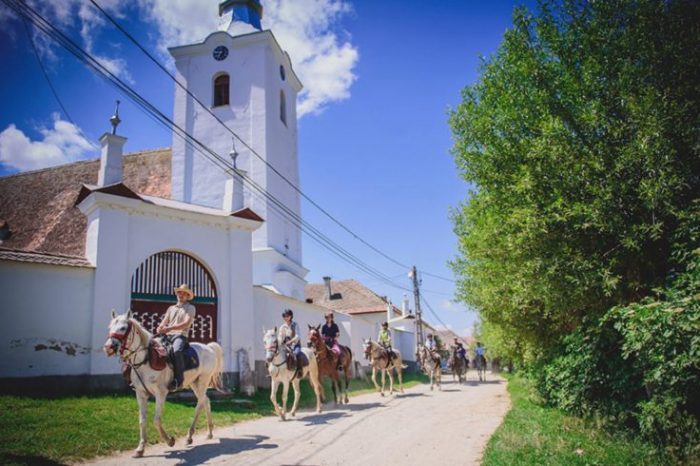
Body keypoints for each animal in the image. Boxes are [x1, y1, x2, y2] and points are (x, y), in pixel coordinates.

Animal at [103, 310, 224, 458]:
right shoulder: (141, 394)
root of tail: (209, 347)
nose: (108, 347)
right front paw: (140, 448)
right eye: (110, 328)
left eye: (123, 328)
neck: (146, 360)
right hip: (194, 384)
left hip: (202, 382)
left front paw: (170, 441)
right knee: (205, 401)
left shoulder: (161, 393)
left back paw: (192, 435)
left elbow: (156, 420)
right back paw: (206, 433)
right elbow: (142, 420)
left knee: (201, 403)